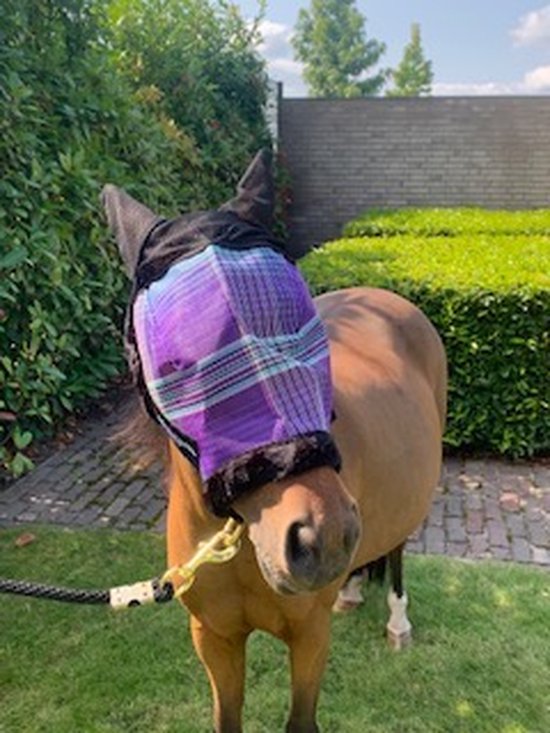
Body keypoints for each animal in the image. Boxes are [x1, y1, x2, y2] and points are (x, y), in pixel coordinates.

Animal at [102, 153, 447, 733]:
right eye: (175, 365)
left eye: (306, 330)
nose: (322, 536)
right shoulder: (214, 641)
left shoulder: (309, 639)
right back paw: (351, 589)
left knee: (397, 550)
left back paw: (397, 621)